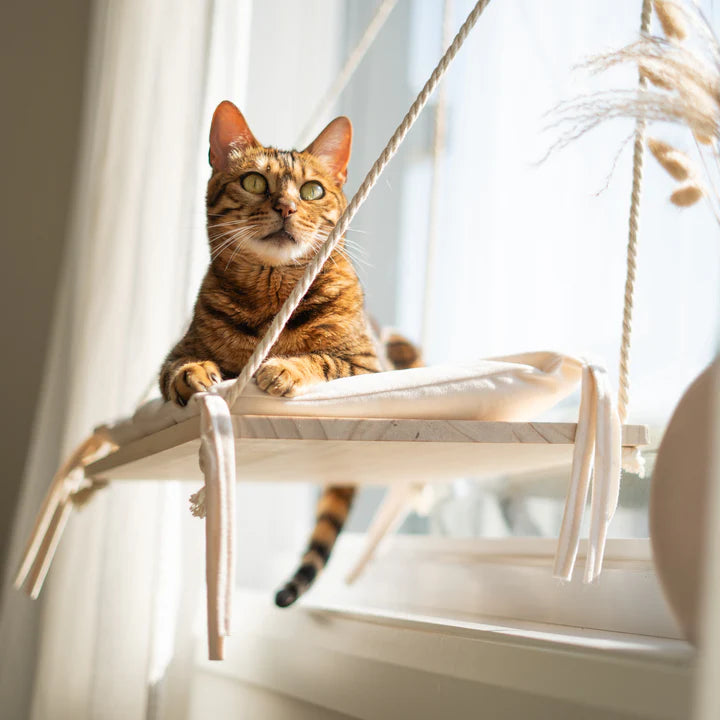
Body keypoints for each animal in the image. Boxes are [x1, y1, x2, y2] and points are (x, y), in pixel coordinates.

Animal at [160, 101, 420, 608]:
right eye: (254, 182)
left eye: (312, 189)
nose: (286, 206)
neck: (271, 295)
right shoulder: (176, 351)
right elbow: (178, 367)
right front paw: (196, 374)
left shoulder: (367, 364)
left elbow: (323, 358)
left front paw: (283, 368)